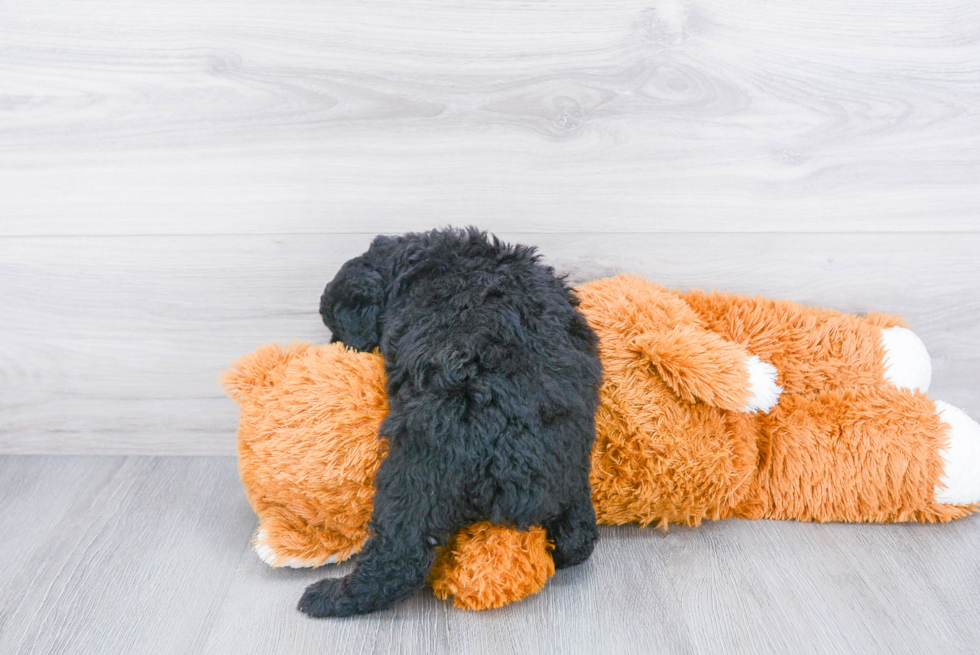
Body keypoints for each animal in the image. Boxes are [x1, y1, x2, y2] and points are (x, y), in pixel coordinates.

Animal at [300, 228, 604, 616]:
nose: (337, 347)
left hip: (416, 476)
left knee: (401, 556)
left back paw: (329, 596)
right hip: (573, 467)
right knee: (579, 534)